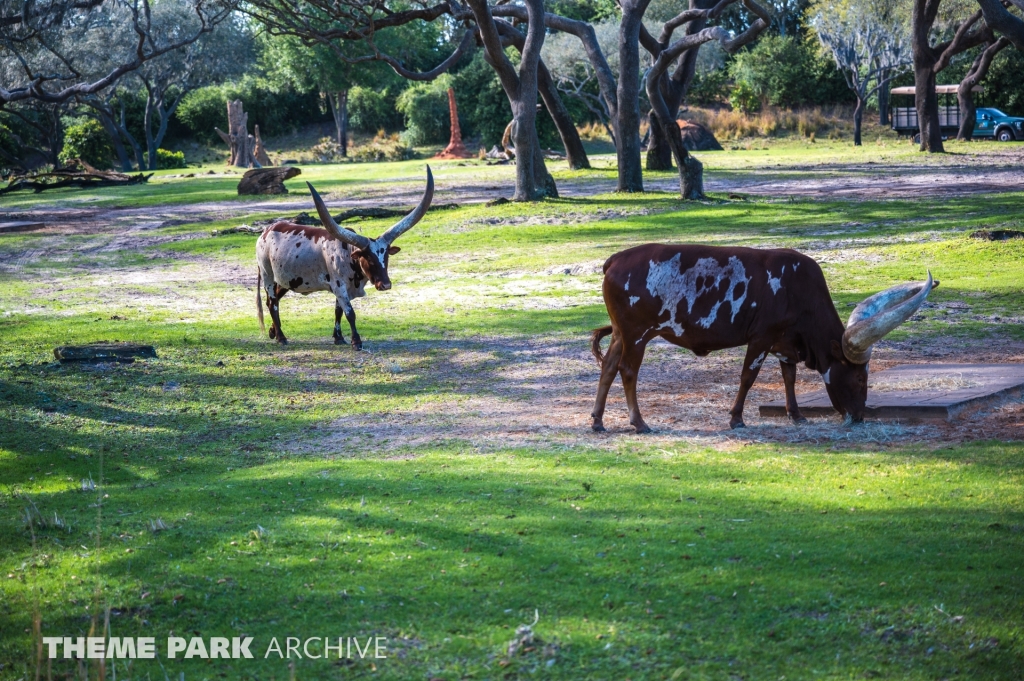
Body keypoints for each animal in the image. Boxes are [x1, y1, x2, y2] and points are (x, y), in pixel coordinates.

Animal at [258, 165, 434, 350]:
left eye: (386, 256)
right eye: (368, 258)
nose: (385, 285)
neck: (348, 256)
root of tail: (266, 231)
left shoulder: (342, 289)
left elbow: (338, 311)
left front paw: (338, 337)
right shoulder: (339, 286)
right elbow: (350, 313)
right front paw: (356, 341)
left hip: (286, 279)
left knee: (274, 300)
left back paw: (274, 332)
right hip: (267, 275)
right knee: (272, 302)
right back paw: (281, 337)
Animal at [593, 245, 937, 430]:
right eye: (860, 378)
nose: (859, 417)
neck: (799, 290)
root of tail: (615, 260)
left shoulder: (785, 344)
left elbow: (789, 376)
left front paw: (795, 414)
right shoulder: (761, 338)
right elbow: (748, 376)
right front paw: (736, 418)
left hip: (620, 335)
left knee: (608, 368)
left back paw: (597, 420)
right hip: (636, 335)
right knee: (627, 371)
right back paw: (639, 422)